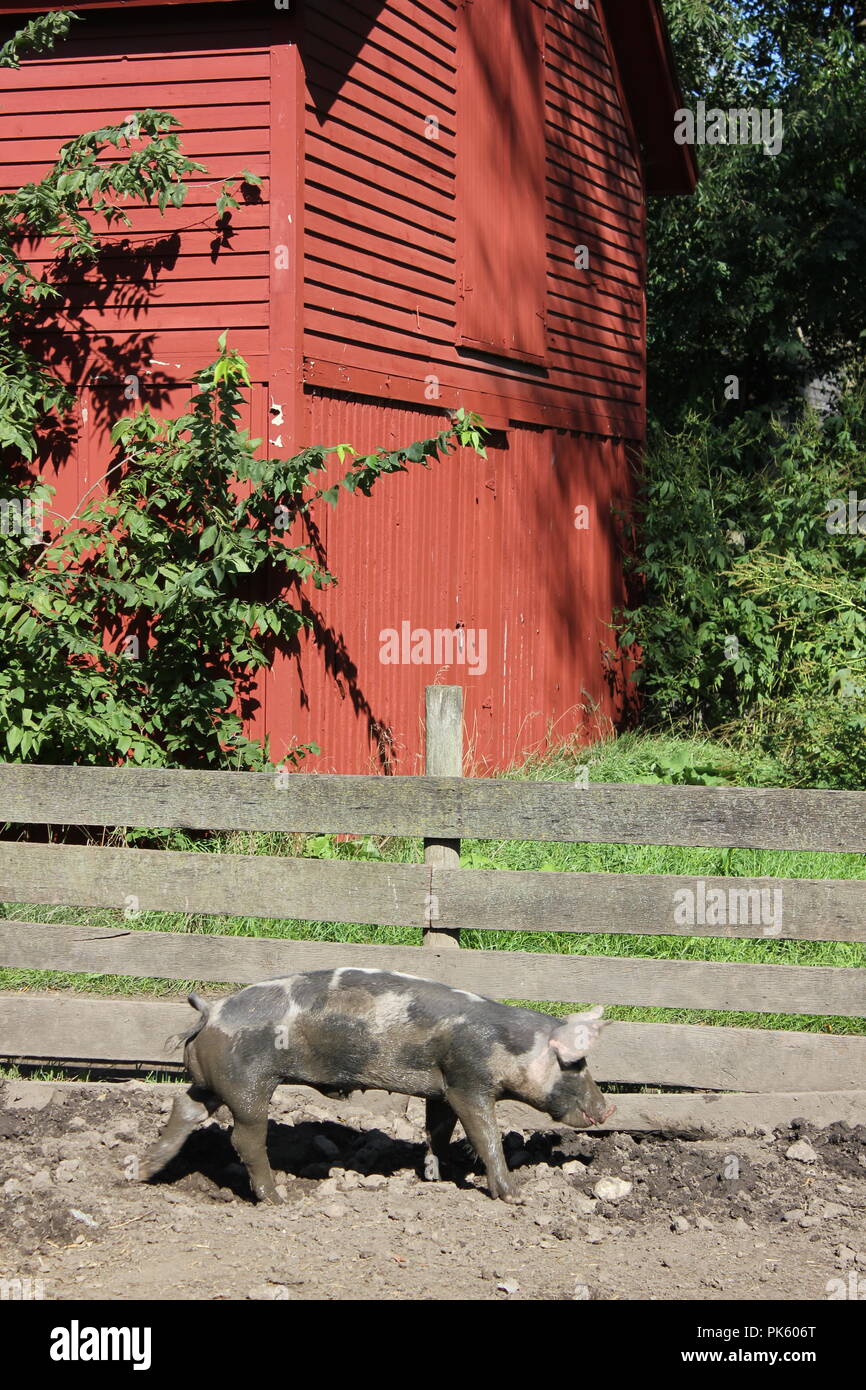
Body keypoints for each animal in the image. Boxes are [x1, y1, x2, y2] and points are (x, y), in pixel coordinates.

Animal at [140, 967, 617, 1206]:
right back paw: (278, 1200)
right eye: (576, 1063)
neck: (510, 1048)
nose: (608, 1109)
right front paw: (515, 1197)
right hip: (249, 1084)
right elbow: (485, 1134)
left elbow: (437, 1131)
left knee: (185, 1109)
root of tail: (211, 1010)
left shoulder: (441, 1088)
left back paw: (140, 1172)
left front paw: (433, 1177)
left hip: (213, 1082)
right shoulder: (467, 1081)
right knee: (246, 1137)